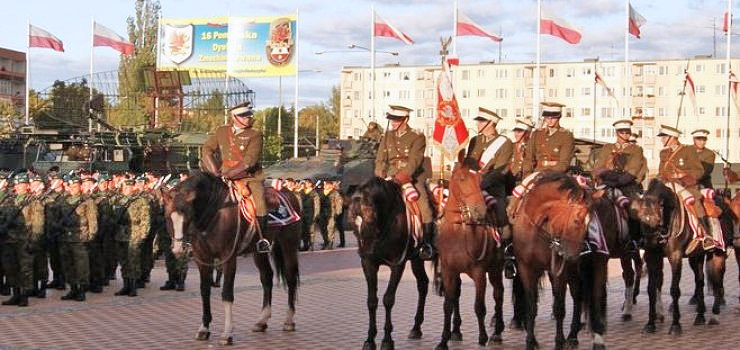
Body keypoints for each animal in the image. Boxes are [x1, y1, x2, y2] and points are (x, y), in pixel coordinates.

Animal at [163, 171, 300, 346]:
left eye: (187, 218)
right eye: (168, 218)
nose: (178, 249)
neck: (214, 213)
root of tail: (289, 193)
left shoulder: (228, 258)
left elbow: (227, 293)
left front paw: (227, 333)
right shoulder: (202, 258)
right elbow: (204, 291)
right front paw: (204, 328)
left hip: (288, 244)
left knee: (290, 278)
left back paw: (289, 320)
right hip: (258, 251)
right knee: (267, 277)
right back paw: (262, 320)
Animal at [350, 178, 430, 350]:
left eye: (370, 219)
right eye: (353, 224)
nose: (365, 251)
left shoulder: (397, 264)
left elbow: (388, 299)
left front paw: (387, 339)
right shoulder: (369, 264)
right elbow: (371, 301)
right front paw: (370, 339)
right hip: (417, 259)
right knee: (423, 284)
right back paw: (416, 328)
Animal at [434, 159, 508, 350]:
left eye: (480, 179)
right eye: (462, 178)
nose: (480, 211)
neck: (459, 231)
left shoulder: (479, 272)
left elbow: (479, 306)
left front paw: (482, 337)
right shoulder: (448, 271)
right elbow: (448, 304)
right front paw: (443, 340)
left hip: (495, 269)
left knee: (498, 294)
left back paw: (497, 332)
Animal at [512, 172, 592, 350]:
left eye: (590, 223)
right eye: (577, 220)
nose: (578, 254)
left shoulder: (559, 271)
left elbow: (559, 308)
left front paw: (559, 342)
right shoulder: (526, 268)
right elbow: (531, 306)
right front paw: (530, 342)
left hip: (571, 270)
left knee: (577, 296)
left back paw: (572, 336)